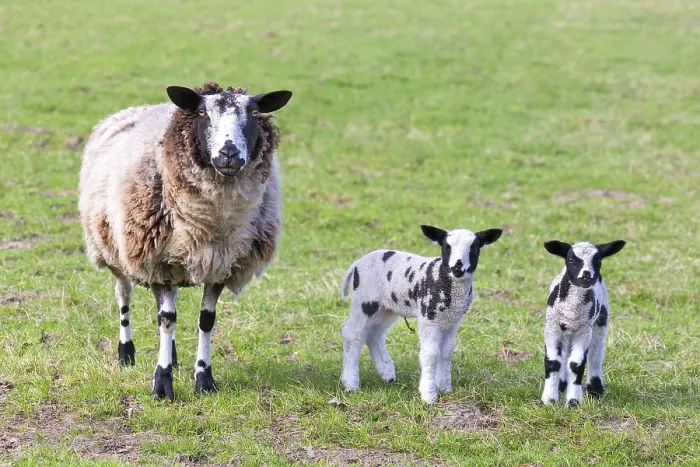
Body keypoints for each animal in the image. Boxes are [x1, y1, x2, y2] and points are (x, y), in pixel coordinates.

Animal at [78, 82, 292, 400]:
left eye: (254, 112)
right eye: (202, 112)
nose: (228, 154)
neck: (212, 225)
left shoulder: (220, 265)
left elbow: (205, 321)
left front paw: (204, 379)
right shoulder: (156, 261)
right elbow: (167, 319)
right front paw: (162, 384)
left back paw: (174, 354)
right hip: (113, 249)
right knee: (124, 297)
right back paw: (126, 353)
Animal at [339, 225, 503, 404]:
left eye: (474, 248)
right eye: (446, 247)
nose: (457, 269)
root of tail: (357, 263)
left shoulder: (453, 321)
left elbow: (447, 352)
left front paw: (445, 386)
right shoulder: (428, 318)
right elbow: (431, 353)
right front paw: (429, 394)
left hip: (387, 307)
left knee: (373, 333)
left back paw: (387, 373)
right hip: (365, 301)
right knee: (352, 334)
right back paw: (350, 383)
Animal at [540, 239, 626, 407]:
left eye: (598, 260)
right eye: (571, 259)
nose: (586, 275)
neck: (572, 310)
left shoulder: (584, 331)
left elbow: (576, 364)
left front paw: (573, 401)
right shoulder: (552, 328)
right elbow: (553, 362)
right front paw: (549, 399)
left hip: (600, 320)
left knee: (595, 353)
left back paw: (595, 389)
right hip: (567, 331)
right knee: (566, 352)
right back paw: (562, 384)